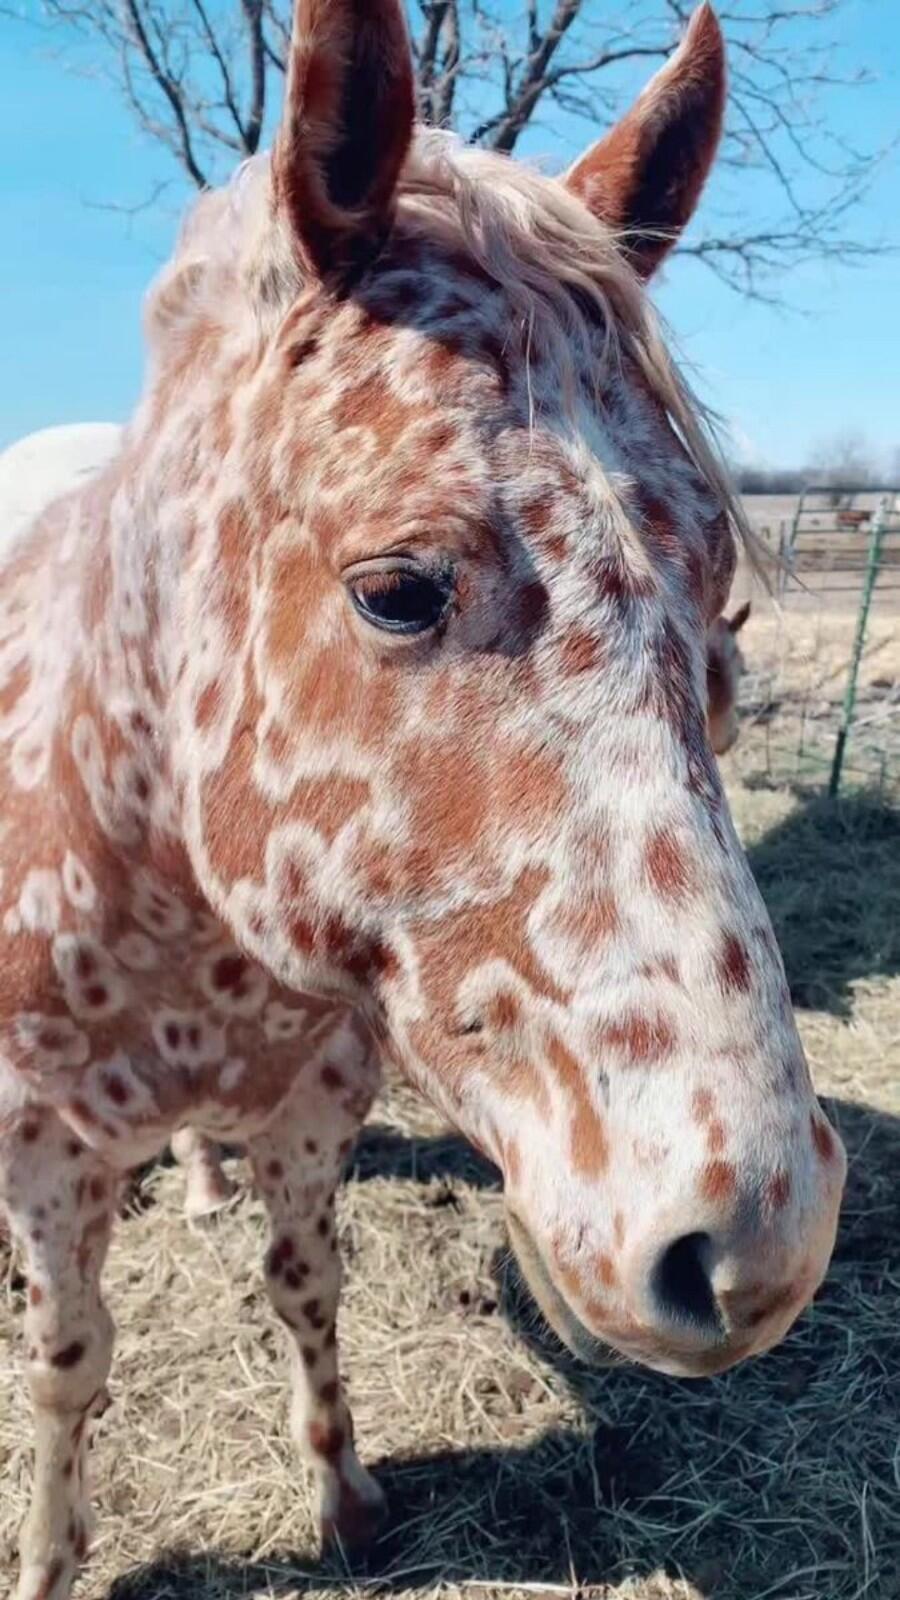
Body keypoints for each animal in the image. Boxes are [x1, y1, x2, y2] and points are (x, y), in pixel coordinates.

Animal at [0, 6, 839, 1593]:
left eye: (721, 596)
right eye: (396, 589)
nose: (753, 1248)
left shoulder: (315, 1105)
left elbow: (303, 1287)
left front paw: (342, 1495)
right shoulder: (43, 1153)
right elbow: (70, 1360)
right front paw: (49, 1552)